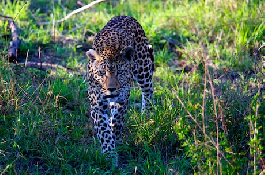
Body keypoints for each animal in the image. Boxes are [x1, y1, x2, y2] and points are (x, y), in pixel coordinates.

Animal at [85, 16, 154, 157]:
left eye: (120, 72)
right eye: (101, 73)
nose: (111, 89)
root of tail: (125, 16)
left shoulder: (122, 99)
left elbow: (117, 121)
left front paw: (116, 142)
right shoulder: (97, 104)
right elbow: (104, 130)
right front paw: (109, 153)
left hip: (143, 68)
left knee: (148, 90)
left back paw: (147, 115)